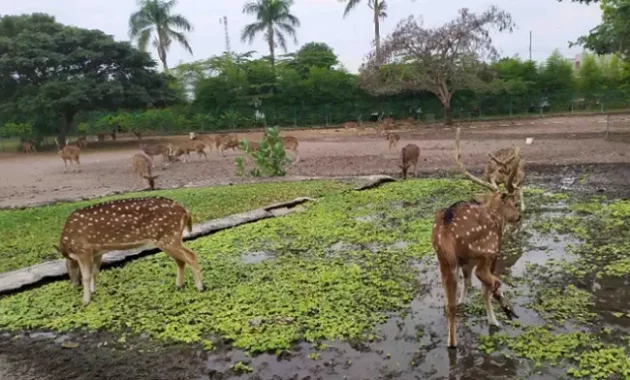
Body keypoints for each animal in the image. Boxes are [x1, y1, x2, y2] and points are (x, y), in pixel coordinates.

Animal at [55, 197, 205, 304]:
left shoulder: (83, 249)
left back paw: (200, 287)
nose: (75, 285)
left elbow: (86, 276)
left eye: (68, 269)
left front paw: (85, 301)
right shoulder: (97, 251)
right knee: (181, 261)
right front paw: (93, 291)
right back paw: (179, 285)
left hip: (168, 237)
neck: (67, 243)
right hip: (171, 238)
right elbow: (95, 272)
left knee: (191, 256)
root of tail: (185, 211)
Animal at [434, 127, 524, 348]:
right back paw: (505, 311)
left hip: (444, 260)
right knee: (486, 279)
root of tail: (446, 230)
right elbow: (485, 287)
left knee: (449, 303)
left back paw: (452, 342)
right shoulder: (491, 253)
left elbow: (467, 285)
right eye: (515, 203)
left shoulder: (464, 261)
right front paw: (494, 319)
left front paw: (463, 301)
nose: (519, 216)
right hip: (485, 249)